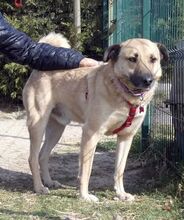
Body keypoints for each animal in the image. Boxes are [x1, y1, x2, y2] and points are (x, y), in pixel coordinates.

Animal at [22, 33, 168, 202]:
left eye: (153, 59)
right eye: (132, 59)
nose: (148, 81)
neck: (123, 94)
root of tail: (39, 70)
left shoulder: (126, 137)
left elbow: (120, 169)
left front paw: (121, 193)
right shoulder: (91, 134)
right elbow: (86, 170)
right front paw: (84, 196)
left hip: (56, 129)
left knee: (43, 155)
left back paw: (49, 181)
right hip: (37, 124)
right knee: (32, 158)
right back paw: (39, 187)